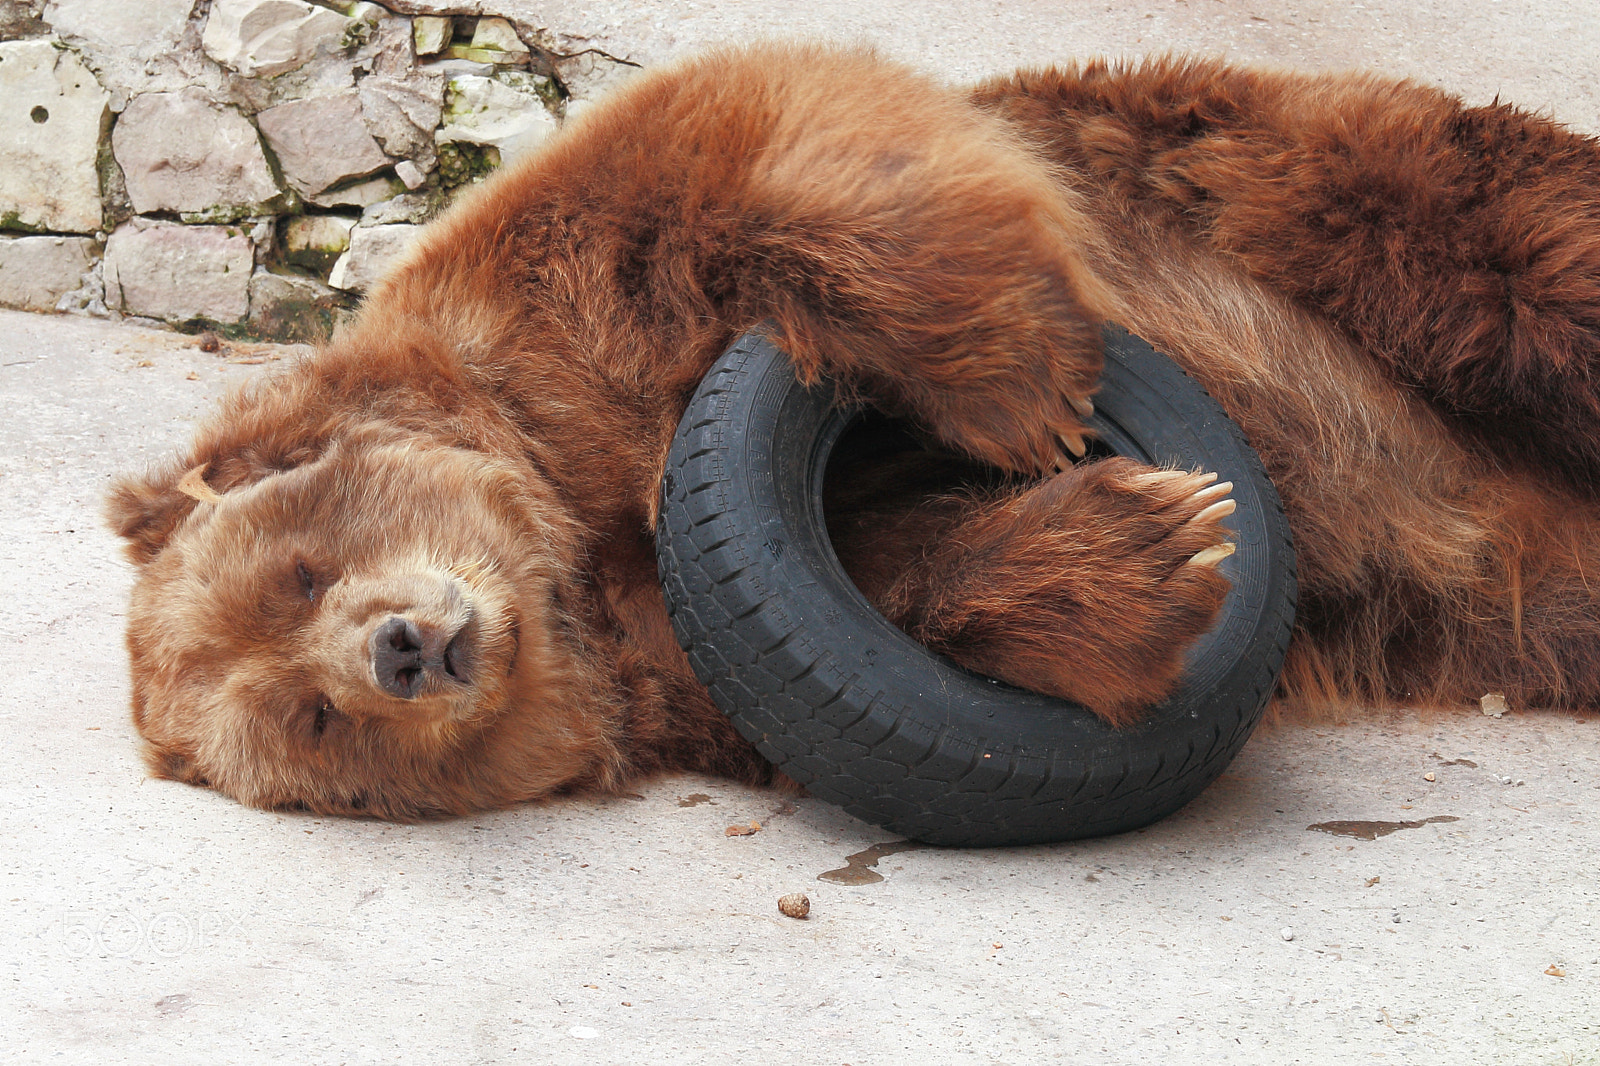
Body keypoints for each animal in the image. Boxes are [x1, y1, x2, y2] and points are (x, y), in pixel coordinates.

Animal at [109, 45, 1600, 816]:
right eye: (309, 723)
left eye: (300, 561)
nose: (403, 649)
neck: (576, 542)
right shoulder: (706, 654)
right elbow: (893, 595)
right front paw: (1148, 539)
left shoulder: (561, 304)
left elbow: (769, 134)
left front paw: (1024, 389)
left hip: (1278, 183)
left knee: (1495, 233)